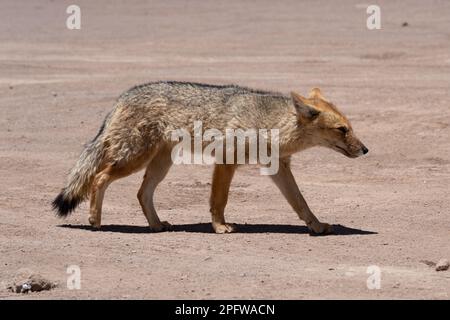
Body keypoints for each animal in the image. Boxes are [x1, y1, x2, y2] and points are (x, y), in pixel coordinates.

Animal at [53, 81, 370, 234]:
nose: (365, 149)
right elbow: (219, 201)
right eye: (342, 130)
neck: (269, 123)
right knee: (99, 177)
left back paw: (156, 225)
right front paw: (219, 227)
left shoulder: (278, 168)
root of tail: (124, 95)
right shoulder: (226, 161)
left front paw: (316, 226)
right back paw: (95, 220)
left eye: (350, 128)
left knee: (142, 193)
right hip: (135, 160)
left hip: (160, 164)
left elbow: (301, 203)